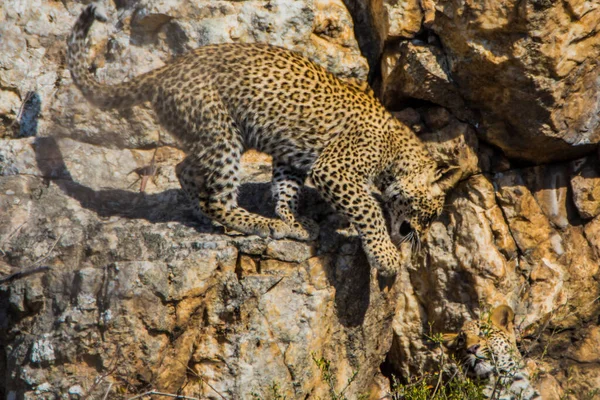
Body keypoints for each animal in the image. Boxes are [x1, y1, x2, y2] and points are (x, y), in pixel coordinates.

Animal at [67, 3, 460, 278]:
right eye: (430, 214)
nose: (418, 237)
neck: (398, 152)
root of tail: (166, 69)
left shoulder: (291, 158)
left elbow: (286, 189)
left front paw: (292, 221)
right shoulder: (336, 169)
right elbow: (369, 210)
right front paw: (386, 255)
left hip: (210, 134)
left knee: (184, 169)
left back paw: (208, 216)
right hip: (221, 134)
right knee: (216, 193)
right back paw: (255, 222)